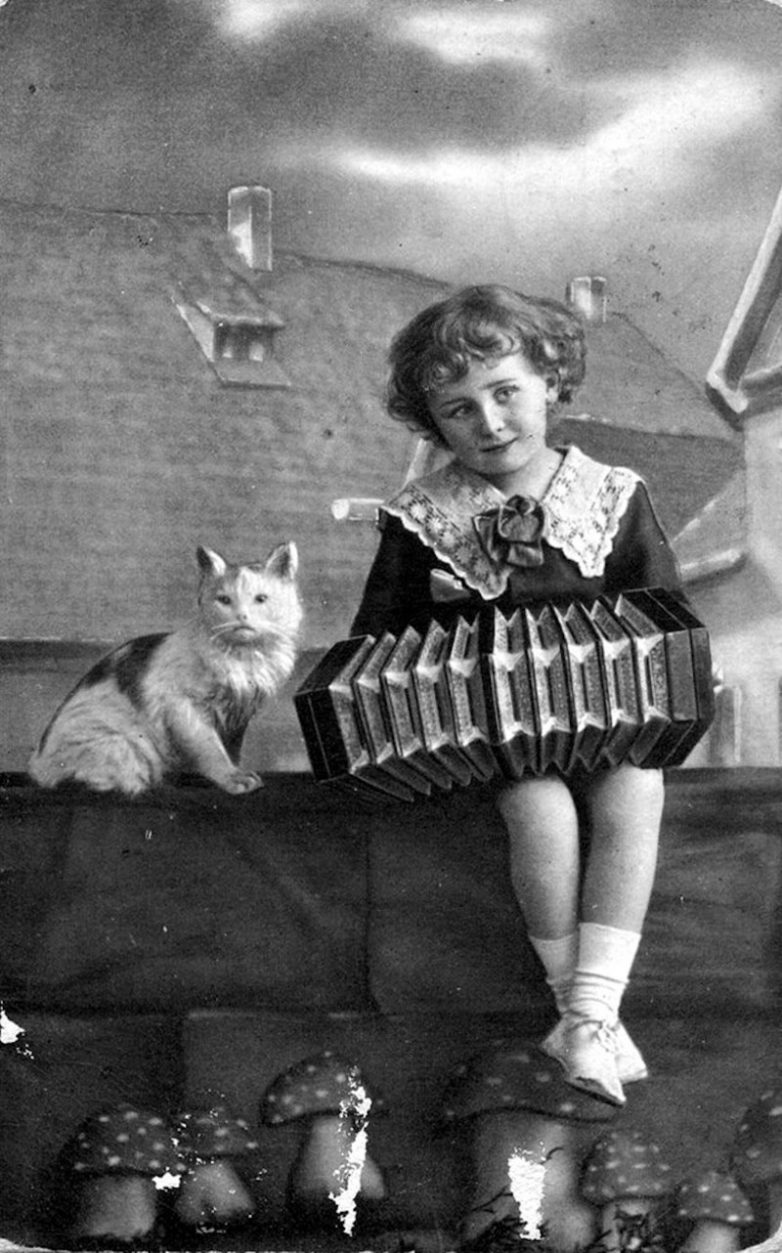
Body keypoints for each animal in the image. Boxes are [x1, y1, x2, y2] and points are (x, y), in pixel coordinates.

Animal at [28, 542, 303, 797]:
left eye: (261, 599)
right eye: (224, 600)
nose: (242, 617)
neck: (243, 655)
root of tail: (37, 769)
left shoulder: (237, 715)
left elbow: (231, 750)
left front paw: (235, 772)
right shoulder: (183, 708)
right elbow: (210, 749)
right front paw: (231, 778)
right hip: (121, 746)